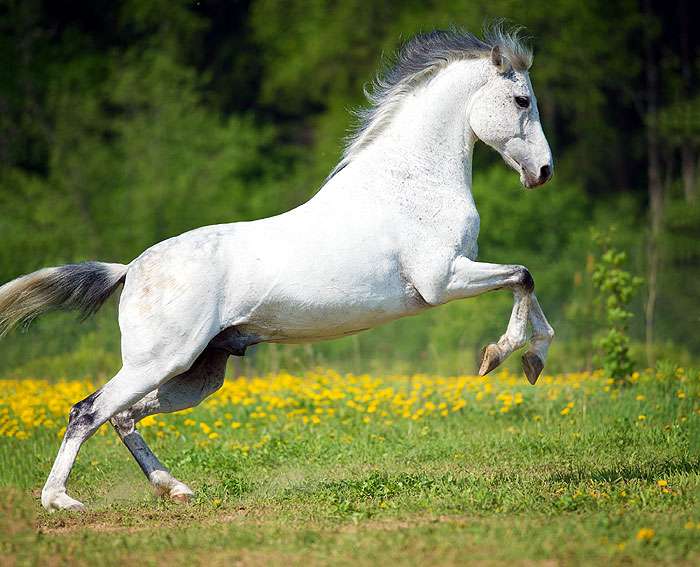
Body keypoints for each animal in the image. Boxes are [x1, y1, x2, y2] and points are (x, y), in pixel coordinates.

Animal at [1, 26, 556, 512]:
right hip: (159, 360)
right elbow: (522, 275)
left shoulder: (455, 276)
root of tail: (131, 269)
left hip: (197, 374)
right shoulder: (443, 280)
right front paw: (499, 356)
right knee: (88, 411)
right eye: (521, 101)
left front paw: (532, 362)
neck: (409, 182)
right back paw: (60, 500)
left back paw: (174, 489)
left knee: (123, 418)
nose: (543, 172)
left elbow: (529, 288)